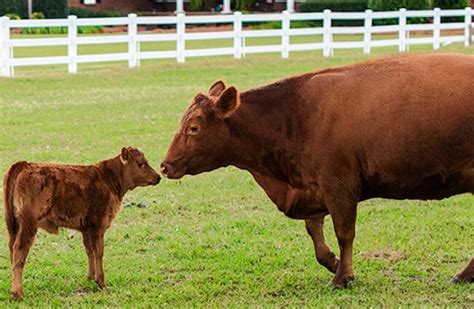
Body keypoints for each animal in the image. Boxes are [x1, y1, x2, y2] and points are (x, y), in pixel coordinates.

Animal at [1, 146, 162, 300]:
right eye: (141, 163)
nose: (158, 177)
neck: (109, 179)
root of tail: (25, 164)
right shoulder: (98, 225)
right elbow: (99, 252)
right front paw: (101, 283)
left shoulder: (86, 228)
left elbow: (89, 251)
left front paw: (90, 279)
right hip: (28, 224)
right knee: (19, 252)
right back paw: (18, 293)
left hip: (13, 226)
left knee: (11, 250)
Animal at [161, 53, 472, 286]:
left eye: (194, 128)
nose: (165, 165)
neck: (296, 115)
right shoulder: (313, 187)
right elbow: (315, 232)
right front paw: (332, 261)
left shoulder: (338, 183)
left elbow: (344, 232)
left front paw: (342, 277)